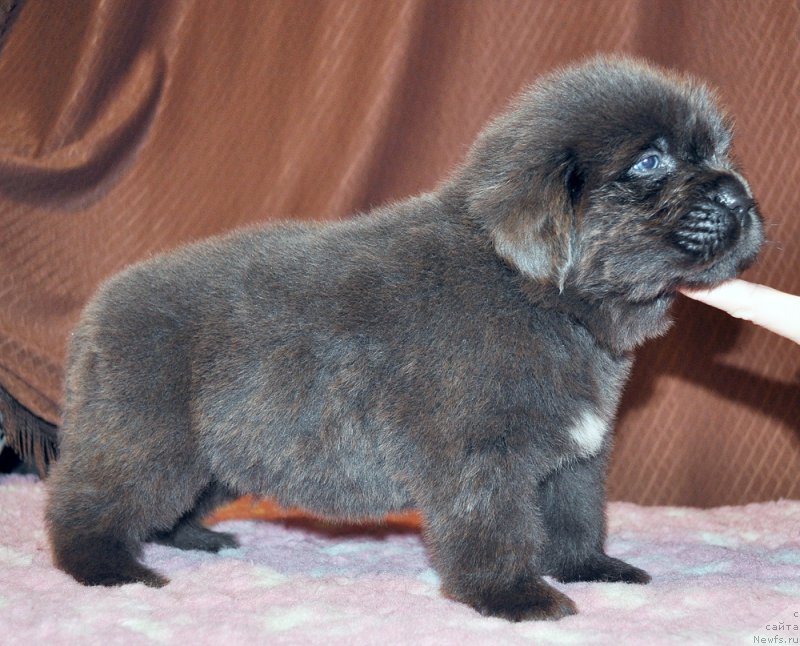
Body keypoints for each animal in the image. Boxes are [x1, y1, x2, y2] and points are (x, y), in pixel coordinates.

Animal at [45, 59, 764, 624]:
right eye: (650, 161)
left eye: (720, 154)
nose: (740, 195)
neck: (540, 296)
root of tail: (99, 309)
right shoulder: (482, 457)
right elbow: (495, 531)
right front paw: (516, 598)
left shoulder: (576, 457)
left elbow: (576, 519)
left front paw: (591, 568)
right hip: (147, 440)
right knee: (84, 505)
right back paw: (110, 571)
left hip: (221, 453)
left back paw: (194, 539)